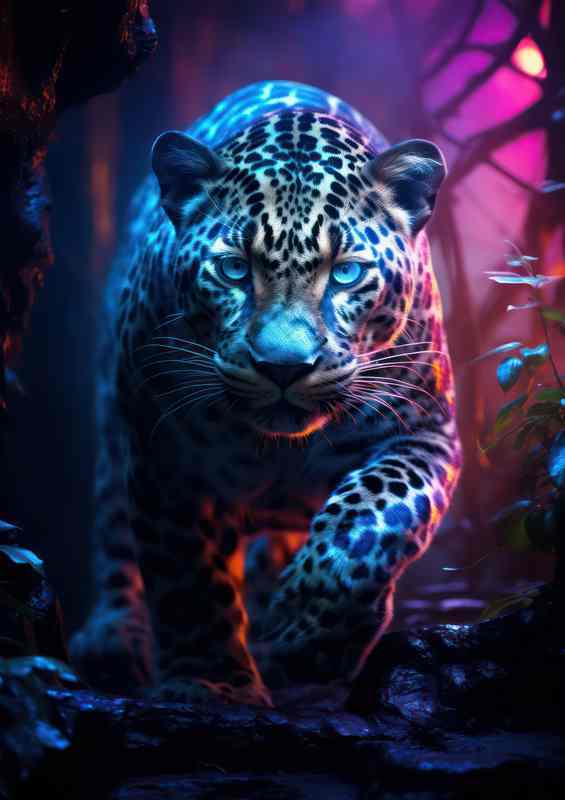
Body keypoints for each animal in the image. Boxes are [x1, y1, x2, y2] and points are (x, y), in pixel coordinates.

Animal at [70, 80, 462, 707]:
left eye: (346, 273)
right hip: (114, 416)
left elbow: (373, 519)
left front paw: (308, 636)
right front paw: (212, 685)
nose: (283, 366)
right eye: (233, 270)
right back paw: (112, 641)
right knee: (112, 530)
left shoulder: (426, 432)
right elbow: (189, 582)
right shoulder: (165, 460)